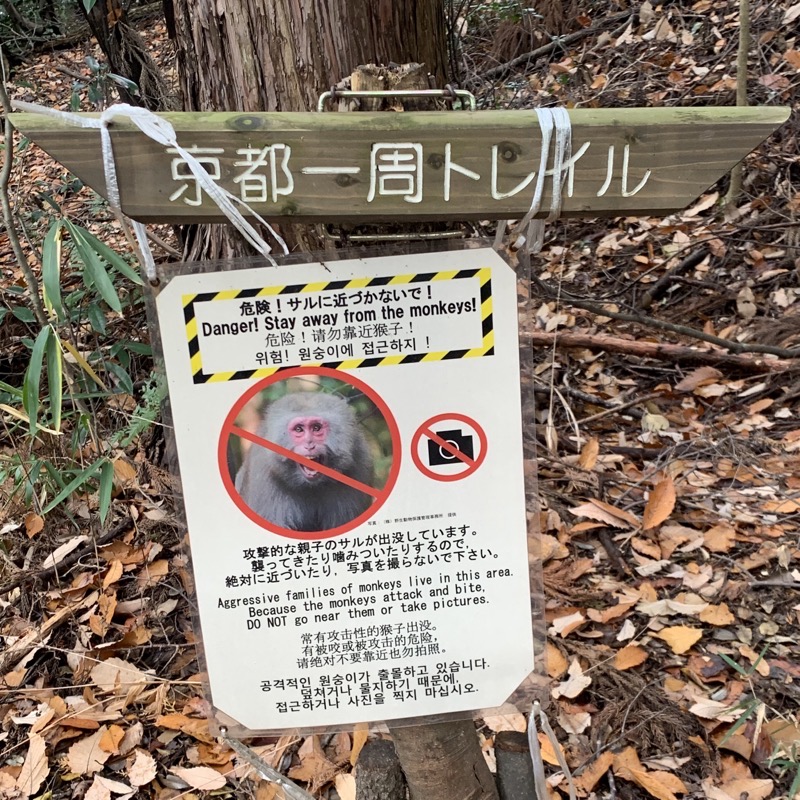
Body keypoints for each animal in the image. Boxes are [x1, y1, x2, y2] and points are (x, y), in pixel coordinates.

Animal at [234, 392, 376, 532]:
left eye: (316, 428)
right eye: (299, 429)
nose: (309, 444)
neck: (310, 485)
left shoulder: (359, 465)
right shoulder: (263, 473)